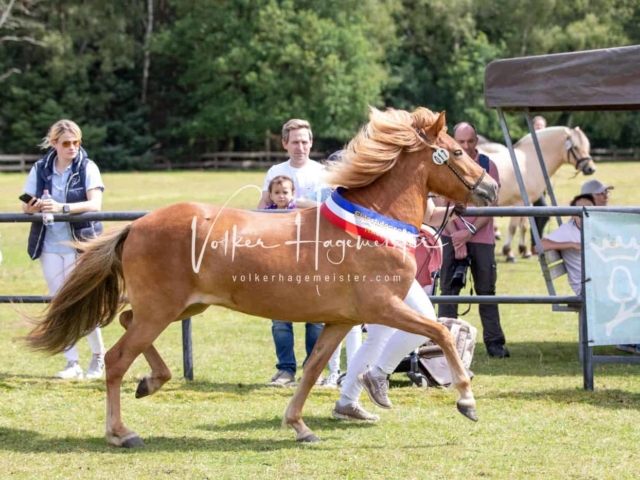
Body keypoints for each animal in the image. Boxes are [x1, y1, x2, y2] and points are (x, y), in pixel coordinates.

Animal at [27, 107, 500, 448]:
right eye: (458, 153)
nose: (491, 188)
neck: (370, 226)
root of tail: (136, 226)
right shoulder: (383, 306)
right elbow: (440, 332)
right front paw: (467, 400)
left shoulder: (341, 320)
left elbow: (313, 369)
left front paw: (300, 426)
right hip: (160, 310)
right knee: (117, 358)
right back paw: (121, 431)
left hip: (179, 308)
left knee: (126, 327)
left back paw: (151, 382)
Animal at [480, 127, 596, 260]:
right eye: (575, 147)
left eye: (587, 146)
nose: (591, 169)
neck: (529, 161)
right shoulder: (519, 203)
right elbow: (513, 227)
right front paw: (508, 252)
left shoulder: (527, 203)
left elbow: (524, 226)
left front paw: (525, 250)